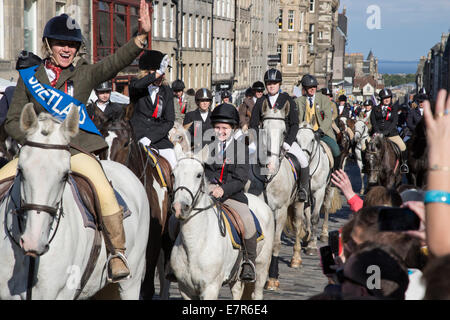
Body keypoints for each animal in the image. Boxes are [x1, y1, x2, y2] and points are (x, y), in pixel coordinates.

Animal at [170, 144, 272, 298]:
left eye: (198, 175)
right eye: (173, 175)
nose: (179, 207)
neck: (194, 244)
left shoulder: (211, 288)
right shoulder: (185, 289)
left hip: (262, 266)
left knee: (258, 292)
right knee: (237, 291)